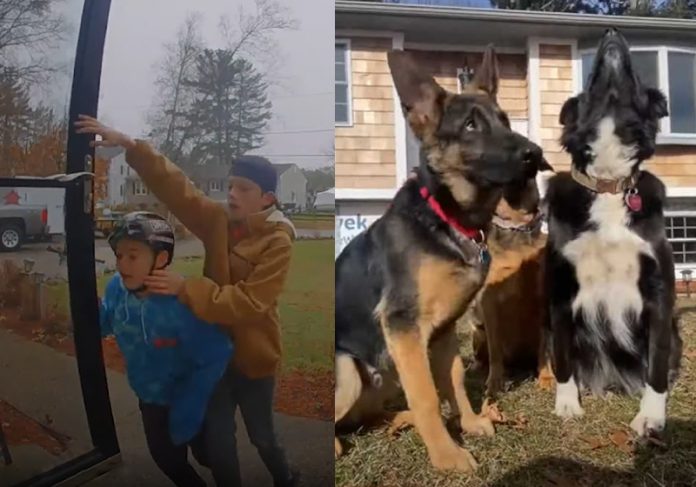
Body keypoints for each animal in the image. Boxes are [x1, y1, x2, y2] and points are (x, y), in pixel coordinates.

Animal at [334, 46, 552, 472]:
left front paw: (470, 423)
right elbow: (428, 397)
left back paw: (397, 419)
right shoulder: (404, 329)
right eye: (470, 126)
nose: (536, 154)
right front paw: (446, 454)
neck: (448, 218)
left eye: (504, 120)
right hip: (349, 368)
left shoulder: (445, 330)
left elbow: (454, 382)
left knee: (367, 417)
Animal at [544, 27, 680, 438]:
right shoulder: (560, 293)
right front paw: (568, 404)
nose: (612, 32)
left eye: (635, 76)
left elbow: (656, 366)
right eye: (589, 81)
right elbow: (563, 360)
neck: (607, 184)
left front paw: (651, 415)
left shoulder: (659, 294)